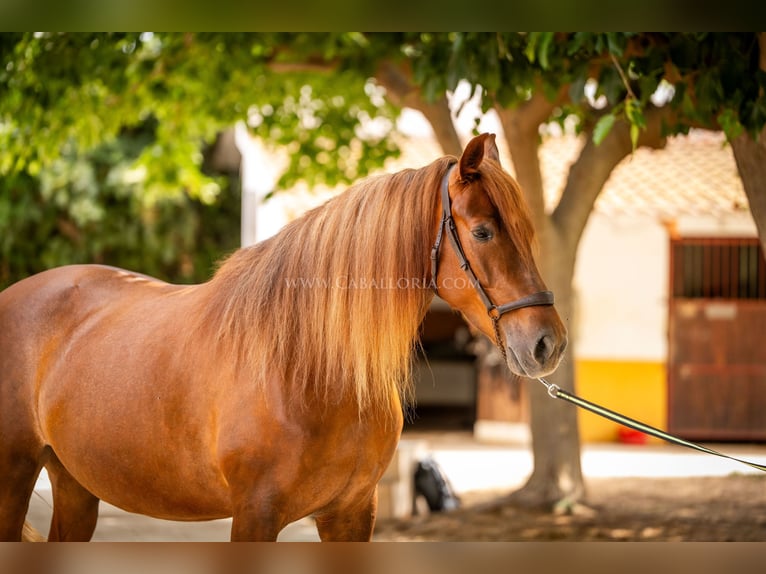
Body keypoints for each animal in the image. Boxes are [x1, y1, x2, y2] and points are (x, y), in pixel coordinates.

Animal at [0, 133, 564, 544]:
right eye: (484, 232)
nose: (548, 344)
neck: (305, 366)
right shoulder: (255, 515)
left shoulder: (351, 514)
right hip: (14, 479)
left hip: (74, 484)